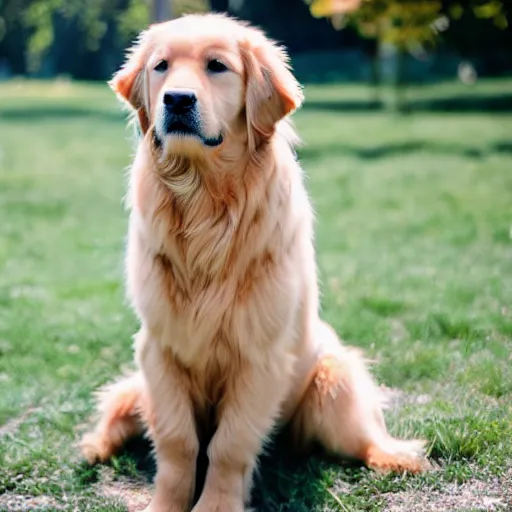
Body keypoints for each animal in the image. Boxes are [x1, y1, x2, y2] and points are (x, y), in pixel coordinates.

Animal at [82, 14, 430, 512]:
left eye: (217, 66)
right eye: (161, 66)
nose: (177, 100)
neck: (206, 204)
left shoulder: (259, 359)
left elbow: (228, 446)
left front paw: (215, 505)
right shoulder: (159, 350)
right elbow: (178, 442)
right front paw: (167, 502)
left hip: (334, 382)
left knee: (363, 438)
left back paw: (393, 455)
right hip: (137, 387)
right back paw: (95, 444)